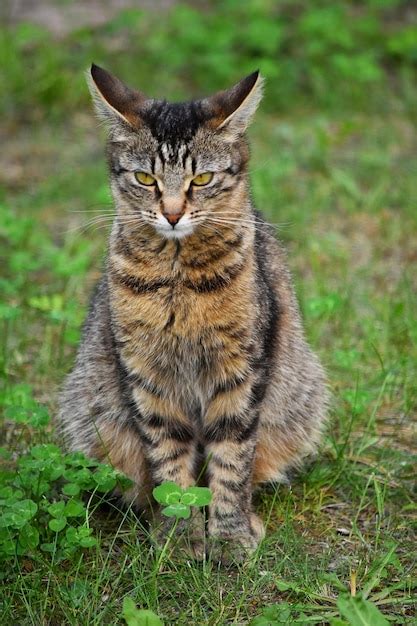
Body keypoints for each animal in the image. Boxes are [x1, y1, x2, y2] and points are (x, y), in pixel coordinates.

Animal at [58, 63, 326, 560]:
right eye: (146, 179)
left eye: (201, 180)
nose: (172, 213)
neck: (178, 280)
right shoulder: (146, 374)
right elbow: (168, 460)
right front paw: (179, 537)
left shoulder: (241, 367)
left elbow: (233, 458)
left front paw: (230, 535)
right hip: (91, 410)